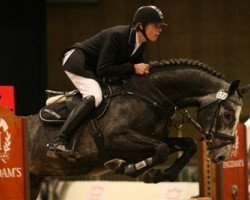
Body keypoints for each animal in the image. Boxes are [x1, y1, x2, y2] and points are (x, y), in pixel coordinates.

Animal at [24, 58, 249, 199]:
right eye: (228, 115)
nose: (222, 156)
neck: (152, 95)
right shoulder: (117, 140)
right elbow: (161, 150)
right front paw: (127, 168)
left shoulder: (152, 140)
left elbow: (188, 144)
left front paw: (159, 175)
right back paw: (59, 146)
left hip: (34, 178)